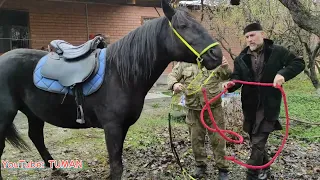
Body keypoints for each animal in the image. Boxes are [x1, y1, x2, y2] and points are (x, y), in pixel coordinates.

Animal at [0, 0, 221, 179]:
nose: (217, 55)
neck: (119, 74)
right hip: (6, 115)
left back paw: (57, 169)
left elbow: (117, 161)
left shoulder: (122, 127)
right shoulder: (112, 127)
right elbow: (116, 166)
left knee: (36, 136)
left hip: (33, 113)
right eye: (183, 26)